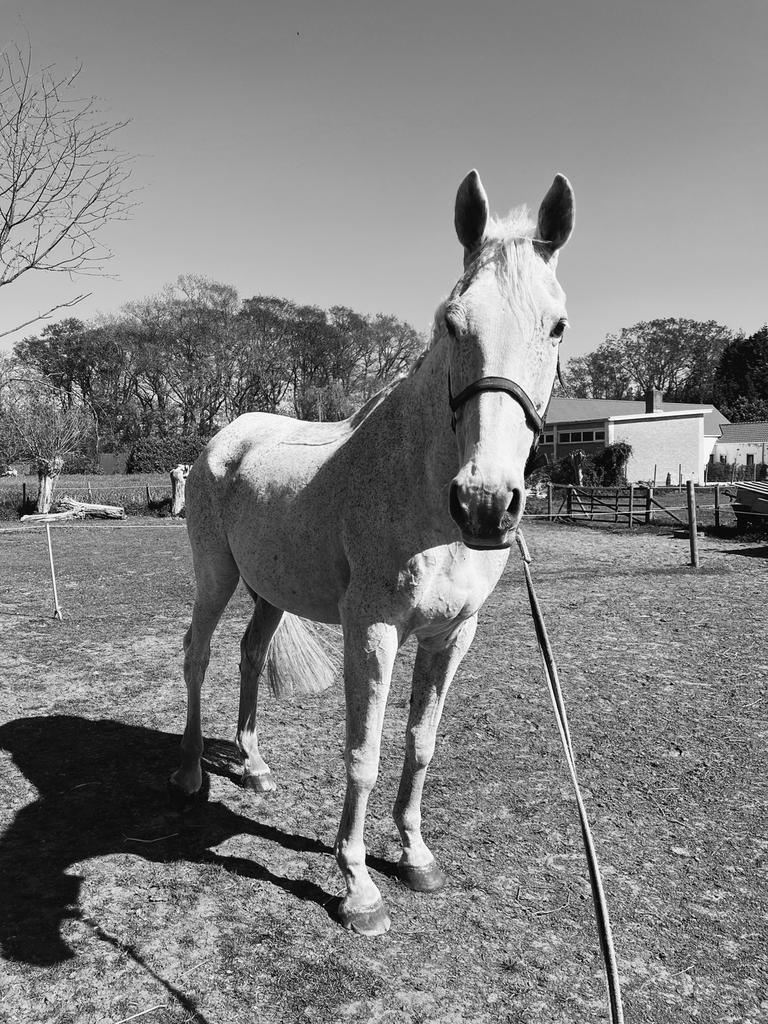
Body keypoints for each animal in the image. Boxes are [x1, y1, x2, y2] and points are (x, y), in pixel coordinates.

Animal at [170, 169, 574, 936]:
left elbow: (420, 743)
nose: (486, 503)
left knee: (249, 655)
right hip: (217, 576)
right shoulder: (373, 630)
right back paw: (192, 774)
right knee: (198, 655)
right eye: (452, 321)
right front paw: (357, 885)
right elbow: (364, 752)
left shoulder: (452, 636)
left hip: (270, 590)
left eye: (557, 325)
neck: (422, 494)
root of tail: (227, 437)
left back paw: (254, 766)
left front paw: (414, 856)